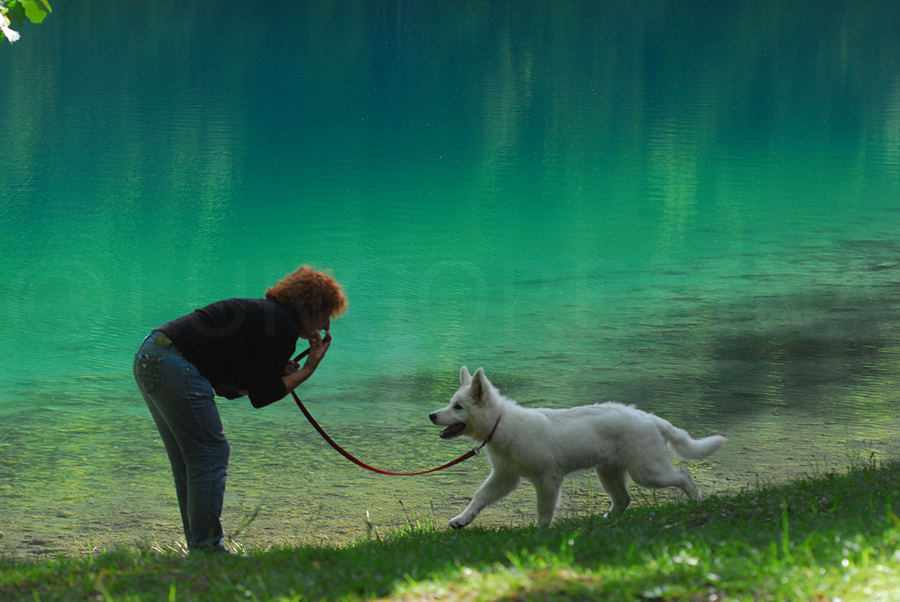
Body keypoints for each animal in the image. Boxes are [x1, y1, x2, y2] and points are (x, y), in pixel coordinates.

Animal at [426, 366, 728, 524]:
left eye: (458, 407)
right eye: (450, 403)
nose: (432, 415)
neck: (501, 423)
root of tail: (650, 418)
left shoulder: (548, 479)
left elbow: (544, 509)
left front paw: (540, 533)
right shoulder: (505, 477)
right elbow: (479, 496)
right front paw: (462, 520)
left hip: (648, 471)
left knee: (683, 475)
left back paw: (697, 500)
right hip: (609, 471)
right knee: (624, 499)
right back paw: (607, 520)